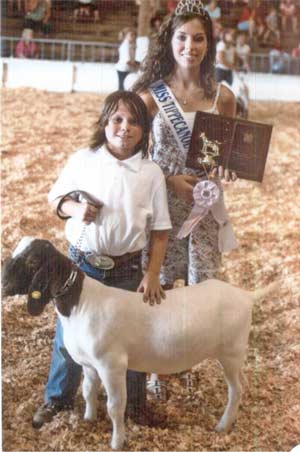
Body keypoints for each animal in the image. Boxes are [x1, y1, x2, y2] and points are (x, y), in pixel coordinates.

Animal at [1, 238, 278, 450]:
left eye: (32, 261)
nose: (3, 283)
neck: (81, 303)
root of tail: (245, 295)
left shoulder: (112, 365)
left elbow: (115, 407)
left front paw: (117, 442)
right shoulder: (89, 364)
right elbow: (88, 391)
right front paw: (89, 420)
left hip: (231, 353)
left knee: (236, 390)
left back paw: (223, 425)